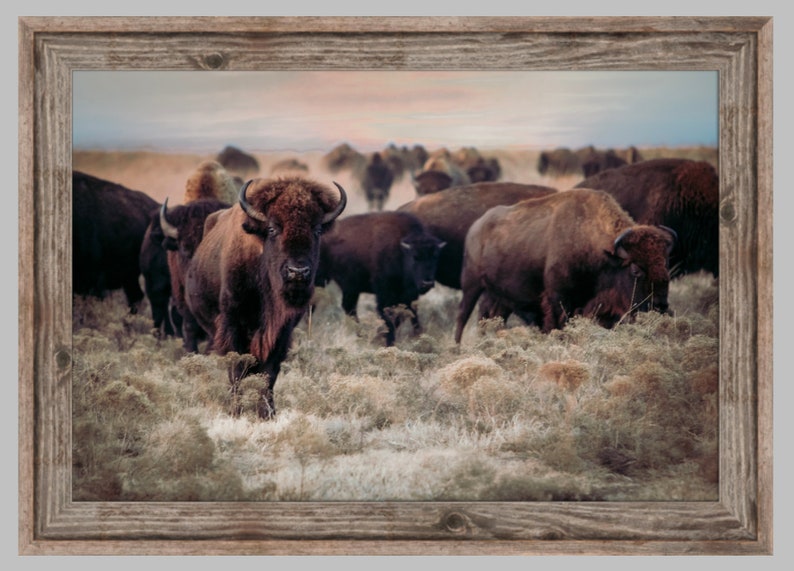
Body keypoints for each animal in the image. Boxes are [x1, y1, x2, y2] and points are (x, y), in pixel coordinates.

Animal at [185, 177, 347, 419]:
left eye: (317, 229)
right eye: (272, 228)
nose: (297, 272)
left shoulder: (281, 331)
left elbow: (269, 373)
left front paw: (267, 413)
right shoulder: (232, 326)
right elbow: (238, 369)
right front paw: (237, 411)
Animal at [316, 211, 446, 346]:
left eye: (435, 257)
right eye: (415, 257)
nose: (427, 283)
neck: (400, 249)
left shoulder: (409, 296)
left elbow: (407, 314)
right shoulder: (384, 293)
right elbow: (387, 316)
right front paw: (387, 340)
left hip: (351, 288)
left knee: (349, 308)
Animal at [455, 189, 676, 343]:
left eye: (665, 264)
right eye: (635, 270)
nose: (660, 306)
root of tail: (475, 227)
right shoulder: (558, 299)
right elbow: (557, 326)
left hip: (497, 295)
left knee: (487, 316)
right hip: (471, 285)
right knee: (462, 315)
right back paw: (458, 349)